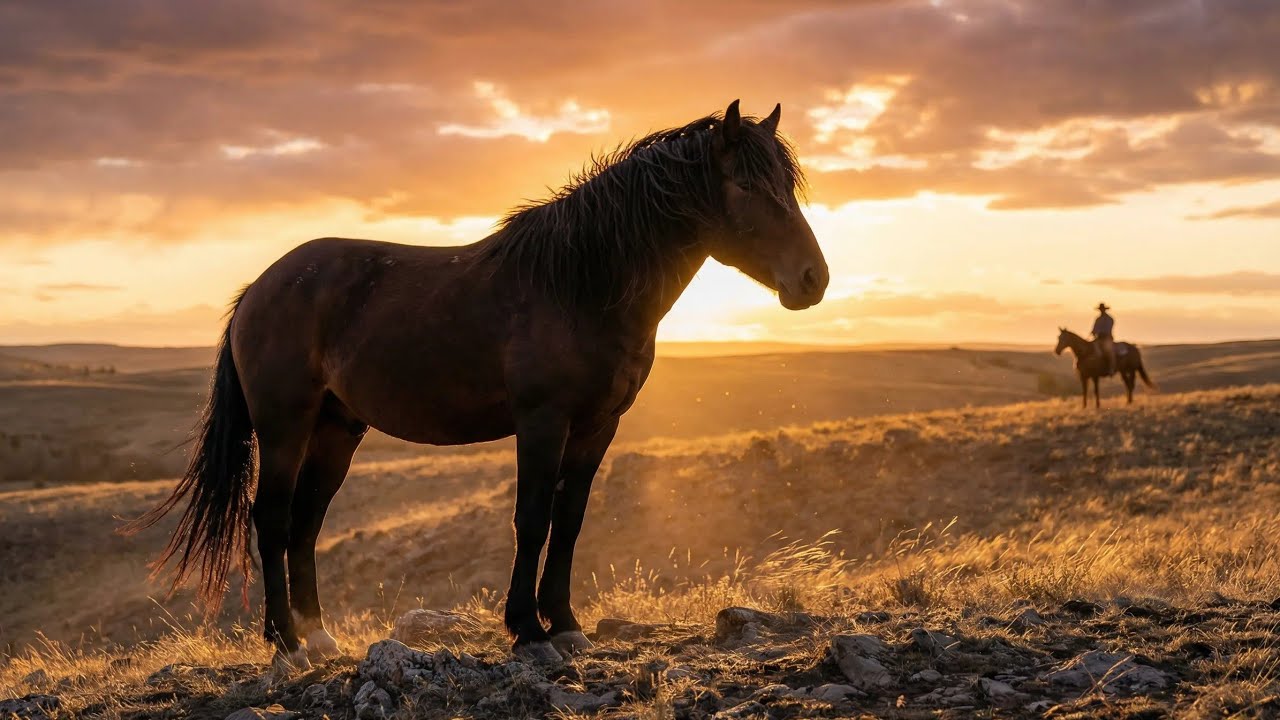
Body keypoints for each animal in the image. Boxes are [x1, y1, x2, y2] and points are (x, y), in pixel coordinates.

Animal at [123, 100, 829, 670]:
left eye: (786, 184)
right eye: (745, 184)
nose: (813, 279)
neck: (579, 285)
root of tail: (259, 289)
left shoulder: (599, 426)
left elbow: (570, 521)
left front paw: (566, 625)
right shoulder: (543, 421)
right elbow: (533, 518)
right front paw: (528, 630)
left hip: (336, 430)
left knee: (303, 522)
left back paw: (320, 639)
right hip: (285, 426)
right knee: (269, 518)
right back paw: (286, 645)